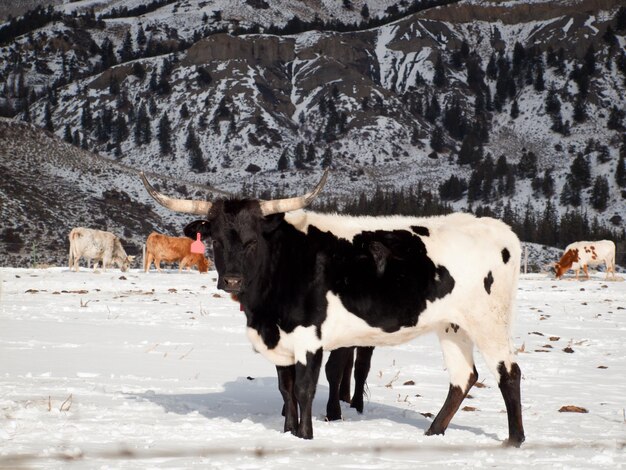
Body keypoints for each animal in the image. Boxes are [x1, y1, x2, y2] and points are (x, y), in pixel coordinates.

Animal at [140, 171, 520, 446]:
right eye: (216, 240)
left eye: (252, 241)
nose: (232, 280)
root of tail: (499, 230)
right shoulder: (281, 340)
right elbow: (286, 389)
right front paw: (288, 433)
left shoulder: (310, 338)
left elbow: (306, 388)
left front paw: (305, 437)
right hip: (452, 326)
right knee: (463, 377)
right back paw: (433, 434)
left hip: (489, 321)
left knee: (508, 373)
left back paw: (514, 440)